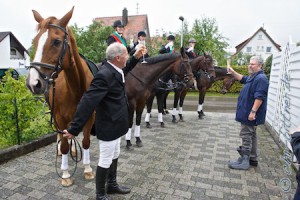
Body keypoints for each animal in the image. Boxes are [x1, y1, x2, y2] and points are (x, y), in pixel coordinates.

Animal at [26, 7, 95, 186]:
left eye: (57, 41)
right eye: (35, 41)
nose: (33, 83)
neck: (76, 86)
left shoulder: (89, 115)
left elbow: (85, 142)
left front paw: (88, 169)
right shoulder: (59, 117)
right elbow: (63, 143)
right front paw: (65, 174)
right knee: (61, 135)